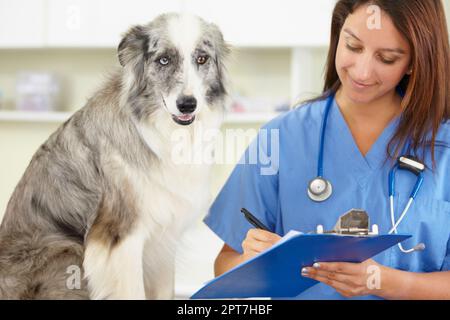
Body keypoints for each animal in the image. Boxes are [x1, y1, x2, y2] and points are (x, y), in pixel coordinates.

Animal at [0, 11, 230, 298]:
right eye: (164, 59)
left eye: (202, 59)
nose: (187, 104)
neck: (166, 132)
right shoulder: (120, 237)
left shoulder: (163, 238)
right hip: (66, 248)